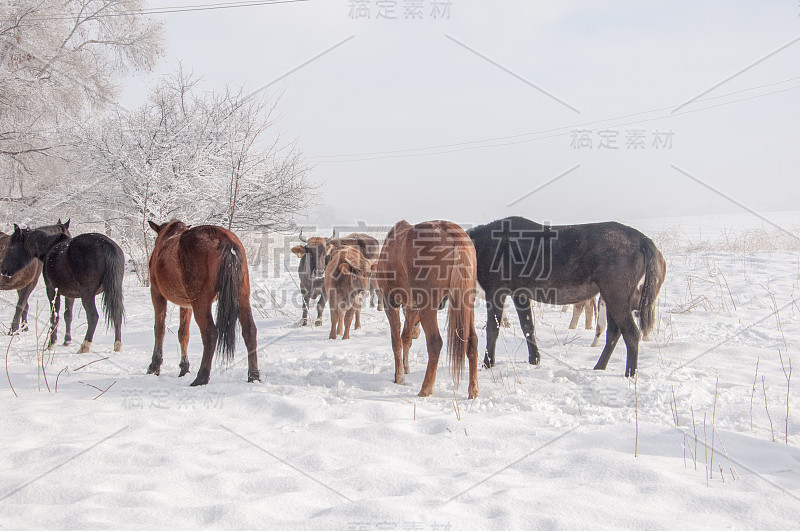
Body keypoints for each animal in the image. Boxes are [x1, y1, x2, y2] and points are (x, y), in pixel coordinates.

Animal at [0, 223, 125, 354]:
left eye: (11, 247)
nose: (3, 269)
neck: (49, 247)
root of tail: (107, 246)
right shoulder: (70, 294)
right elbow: (67, 315)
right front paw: (66, 341)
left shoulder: (52, 290)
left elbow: (54, 316)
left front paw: (51, 344)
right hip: (114, 290)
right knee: (117, 315)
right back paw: (117, 346)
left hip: (87, 294)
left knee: (93, 316)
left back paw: (84, 346)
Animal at [145, 220, 260, 386]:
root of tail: (225, 240)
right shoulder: (186, 304)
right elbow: (183, 333)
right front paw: (184, 368)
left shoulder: (157, 294)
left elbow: (159, 329)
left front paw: (154, 366)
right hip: (242, 296)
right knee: (249, 331)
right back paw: (253, 376)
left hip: (201, 302)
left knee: (210, 333)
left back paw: (201, 377)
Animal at [376, 220, 482, 400]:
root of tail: (454, 235)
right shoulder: (412, 307)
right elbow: (406, 337)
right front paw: (405, 368)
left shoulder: (391, 303)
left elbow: (396, 340)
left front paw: (399, 377)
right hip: (466, 302)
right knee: (472, 341)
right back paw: (473, 390)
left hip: (428, 306)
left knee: (435, 343)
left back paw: (425, 389)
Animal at [472, 217, 664, 378]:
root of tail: (643, 240)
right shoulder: (520, 295)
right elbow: (528, 327)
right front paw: (534, 359)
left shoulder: (496, 293)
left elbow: (493, 330)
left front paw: (487, 364)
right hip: (614, 297)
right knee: (614, 332)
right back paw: (599, 368)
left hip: (616, 295)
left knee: (631, 333)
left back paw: (629, 373)